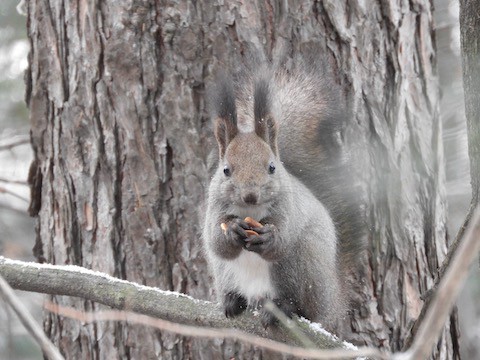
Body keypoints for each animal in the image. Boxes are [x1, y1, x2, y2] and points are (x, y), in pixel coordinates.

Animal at [202, 52, 364, 330]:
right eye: (225, 170)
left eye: (271, 167)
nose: (250, 195)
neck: (251, 211)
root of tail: (334, 300)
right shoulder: (214, 207)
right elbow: (216, 241)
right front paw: (231, 230)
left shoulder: (289, 207)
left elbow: (283, 238)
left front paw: (269, 237)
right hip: (224, 271)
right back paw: (232, 300)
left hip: (300, 265)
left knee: (302, 304)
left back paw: (283, 307)